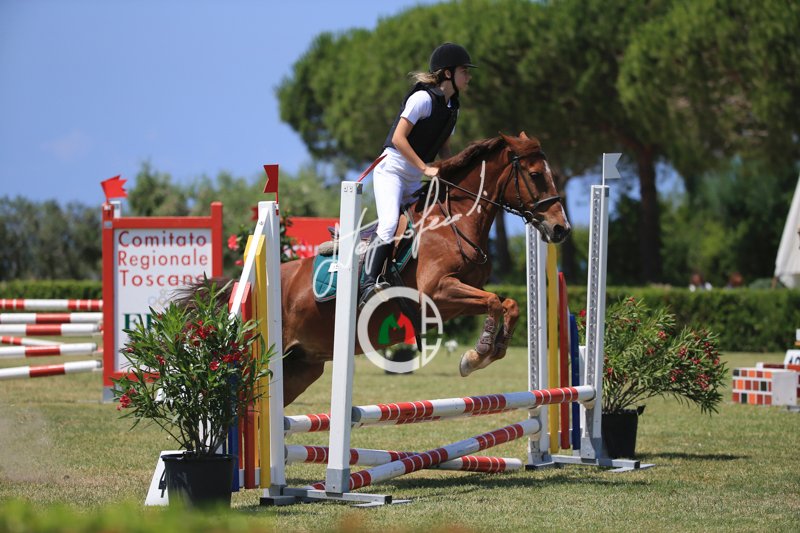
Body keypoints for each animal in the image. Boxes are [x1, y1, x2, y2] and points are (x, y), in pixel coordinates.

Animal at [274, 132, 570, 406]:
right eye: (536, 175)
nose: (561, 228)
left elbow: (507, 303)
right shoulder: (436, 292)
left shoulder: (462, 294)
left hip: (301, 367)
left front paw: (486, 353)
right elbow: (494, 303)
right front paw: (478, 353)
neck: (453, 224)